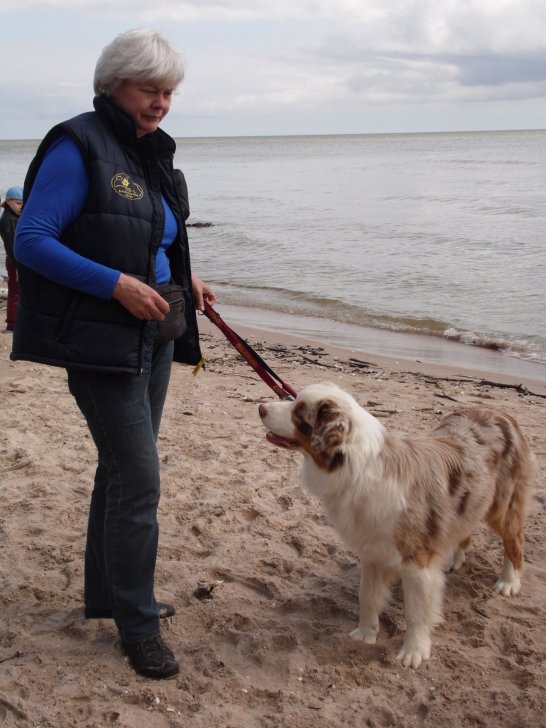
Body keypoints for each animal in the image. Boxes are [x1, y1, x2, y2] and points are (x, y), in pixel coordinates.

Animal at [259, 382, 534, 668]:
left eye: (299, 412)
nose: (261, 407)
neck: (356, 470)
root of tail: (500, 413)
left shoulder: (416, 561)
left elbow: (417, 612)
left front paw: (415, 651)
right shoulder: (372, 551)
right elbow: (367, 597)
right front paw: (365, 634)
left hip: (503, 506)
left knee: (515, 540)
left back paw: (508, 581)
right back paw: (454, 560)